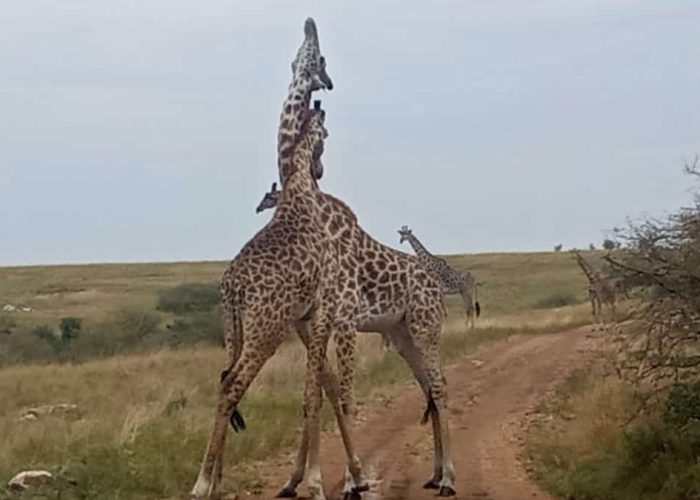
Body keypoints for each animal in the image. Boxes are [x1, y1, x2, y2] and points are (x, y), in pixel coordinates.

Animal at [254, 182, 456, 494]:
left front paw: (351, 482)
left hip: (426, 327)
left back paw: (447, 478)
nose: (259, 207)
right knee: (429, 389)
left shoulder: (342, 322)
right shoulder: (312, 328)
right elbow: (320, 393)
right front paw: (292, 481)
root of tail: (438, 290)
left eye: (268, 196)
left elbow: (343, 395)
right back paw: (434, 475)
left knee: (439, 387)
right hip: (403, 336)